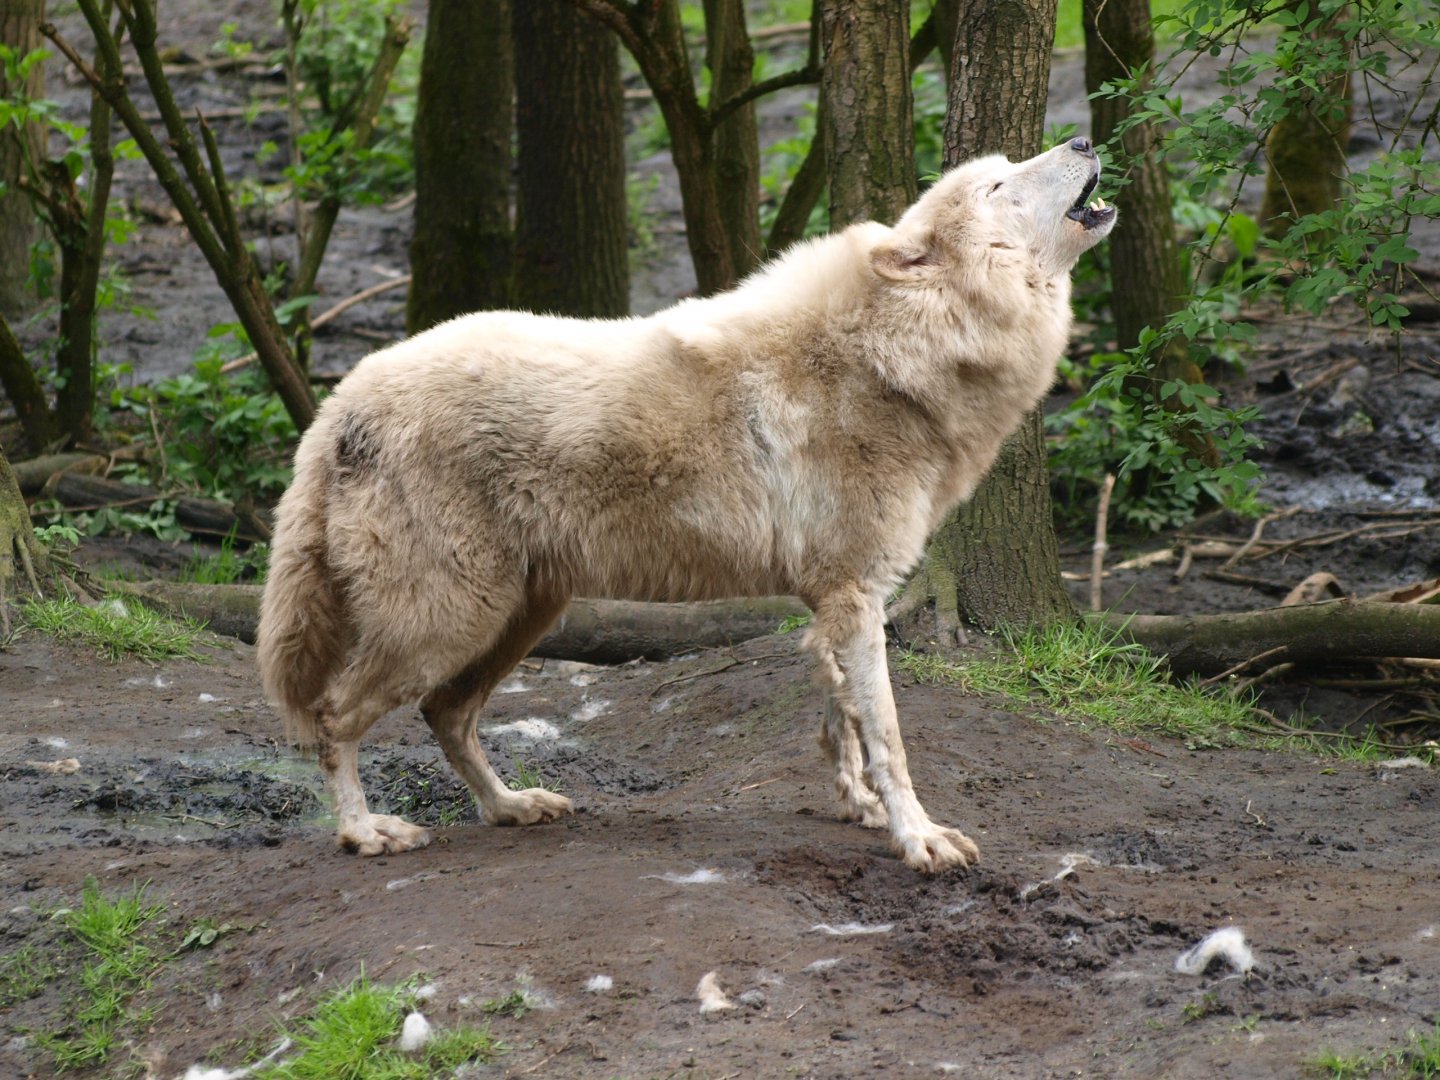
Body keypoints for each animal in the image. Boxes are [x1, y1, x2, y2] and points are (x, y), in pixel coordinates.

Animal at [257, 138, 1115, 873]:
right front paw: (918, 837)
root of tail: (337, 404)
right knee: (332, 717)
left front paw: (859, 807)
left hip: (519, 616)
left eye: (1011, 166)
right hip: (449, 620)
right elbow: (890, 735)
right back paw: (365, 832)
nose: (1081, 140)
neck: (898, 350)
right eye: (998, 186)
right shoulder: (855, 594)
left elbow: (840, 719)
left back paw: (509, 807)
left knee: (445, 716)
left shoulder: (834, 603)